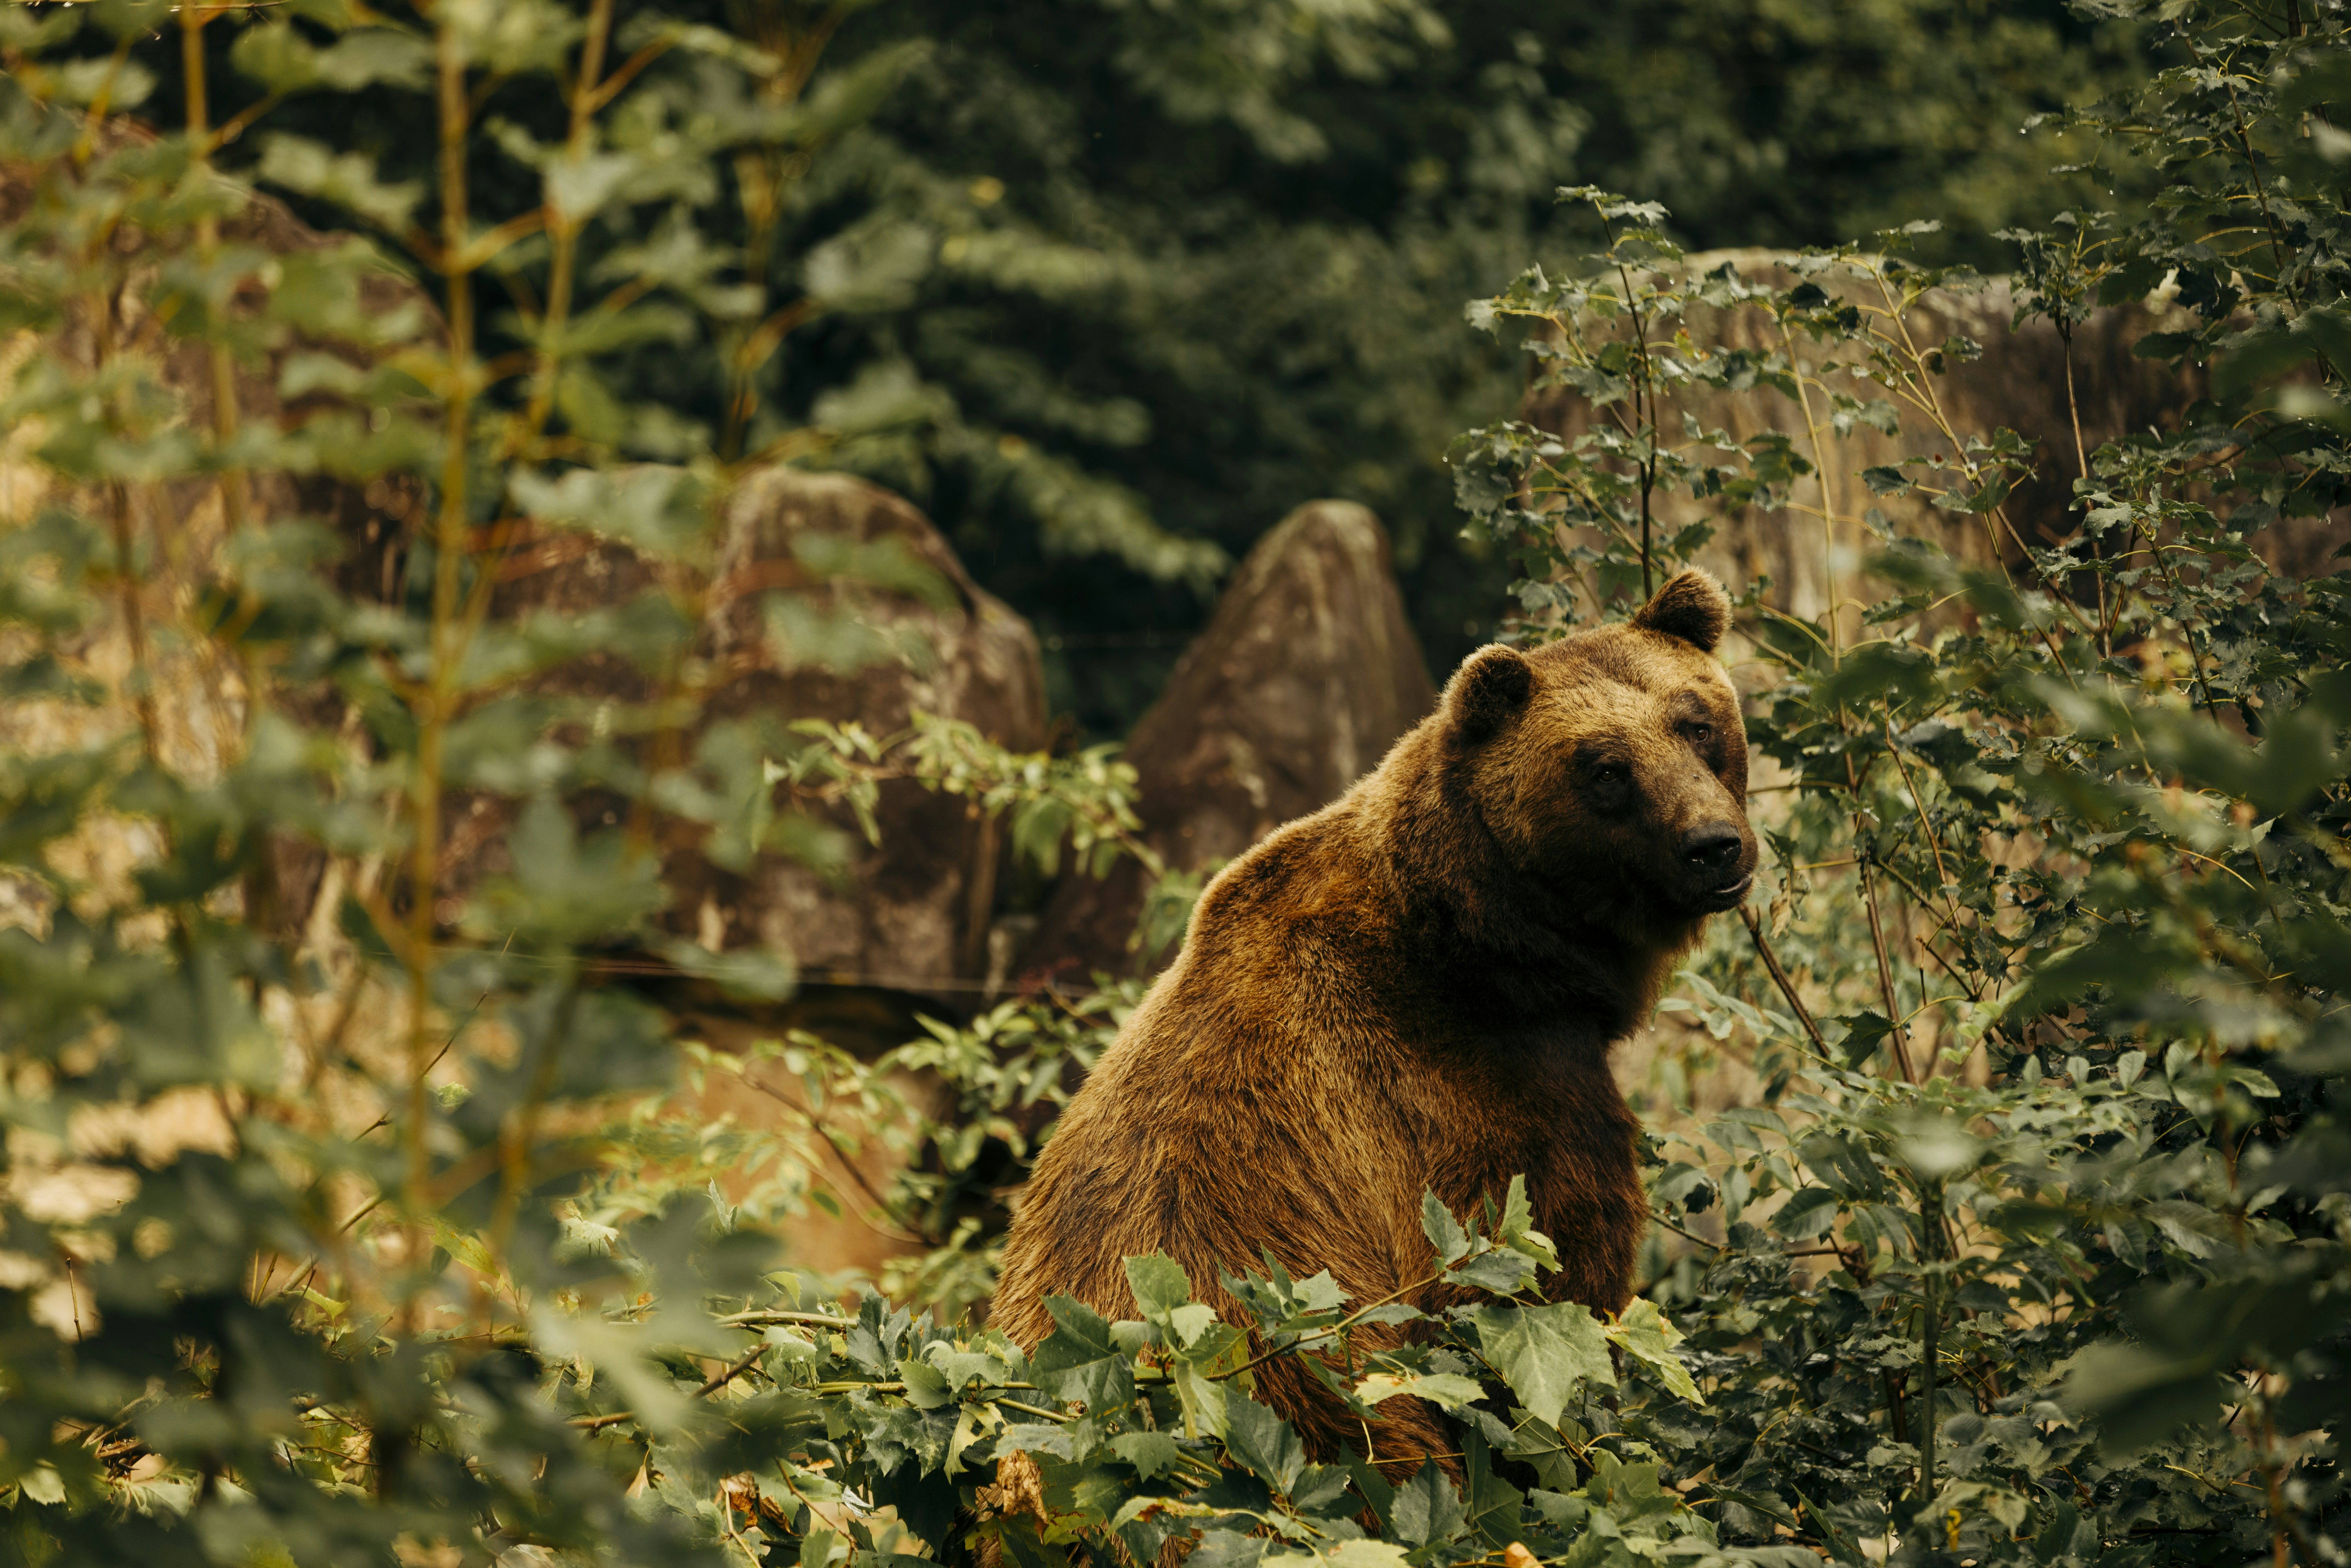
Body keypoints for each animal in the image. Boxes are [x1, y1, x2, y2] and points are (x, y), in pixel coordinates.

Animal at [988, 567, 1757, 1474]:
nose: (1714, 846)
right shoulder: (1473, 1100)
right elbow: (1538, 1288)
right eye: (1605, 767)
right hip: (1301, 1376)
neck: (1486, 940)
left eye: (1697, 724)